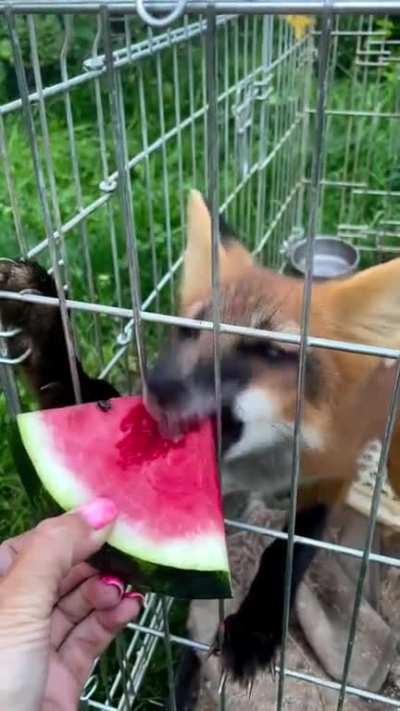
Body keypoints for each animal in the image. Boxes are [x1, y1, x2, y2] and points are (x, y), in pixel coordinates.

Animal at [0, 189, 398, 687]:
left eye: (270, 351)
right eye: (189, 330)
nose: (156, 386)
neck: (256, 469)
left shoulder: (330, 476)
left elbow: (286, 551)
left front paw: (255, 627)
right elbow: (75, 386)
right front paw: (40, 309)